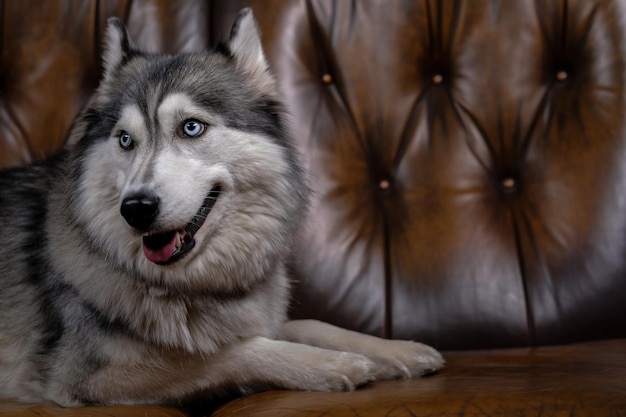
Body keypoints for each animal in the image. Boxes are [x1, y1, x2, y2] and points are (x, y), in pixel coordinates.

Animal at [0, 10, 442, 406]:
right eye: (125, 140)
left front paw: (396, 350)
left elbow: (310, 323)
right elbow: (230, 351)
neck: (191, 285)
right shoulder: (87, 378)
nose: (136, 208)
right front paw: (333, 365)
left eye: (191, 127)